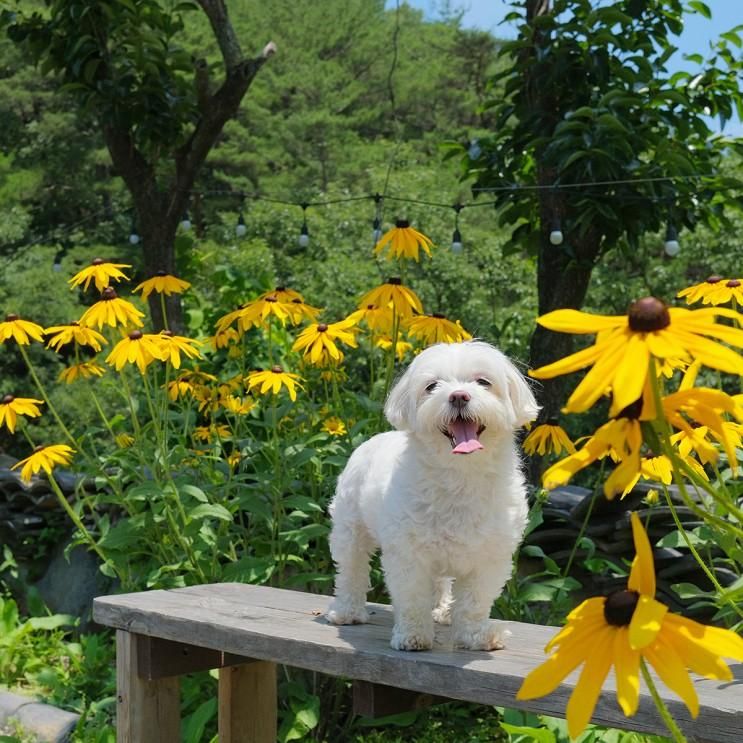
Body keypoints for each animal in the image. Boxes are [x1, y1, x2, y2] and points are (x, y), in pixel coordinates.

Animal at [328, 342, 536, 652]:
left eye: (483, 382)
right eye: (432, 386)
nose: (459, 396)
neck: (461, 475)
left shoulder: (489, 556)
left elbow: (474, 601)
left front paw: (476, 635)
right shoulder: (408, 554)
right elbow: (412, 597)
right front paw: (413, 635)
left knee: (440, 582)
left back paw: (442, 611)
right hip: (350, 527)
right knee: (351, 569)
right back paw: (347, 611)